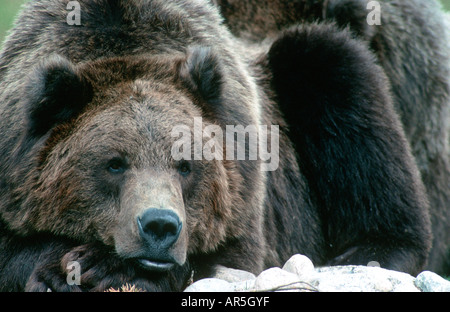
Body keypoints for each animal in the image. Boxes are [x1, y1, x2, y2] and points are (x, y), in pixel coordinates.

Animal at [0, 0, 442, 292]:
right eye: (114, 163)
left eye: (185, 165)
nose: (159, 226)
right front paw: (62, 267)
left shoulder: (245, 189)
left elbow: (229, 259)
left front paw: (108, 267)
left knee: (332, 65)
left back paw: (369, 251)